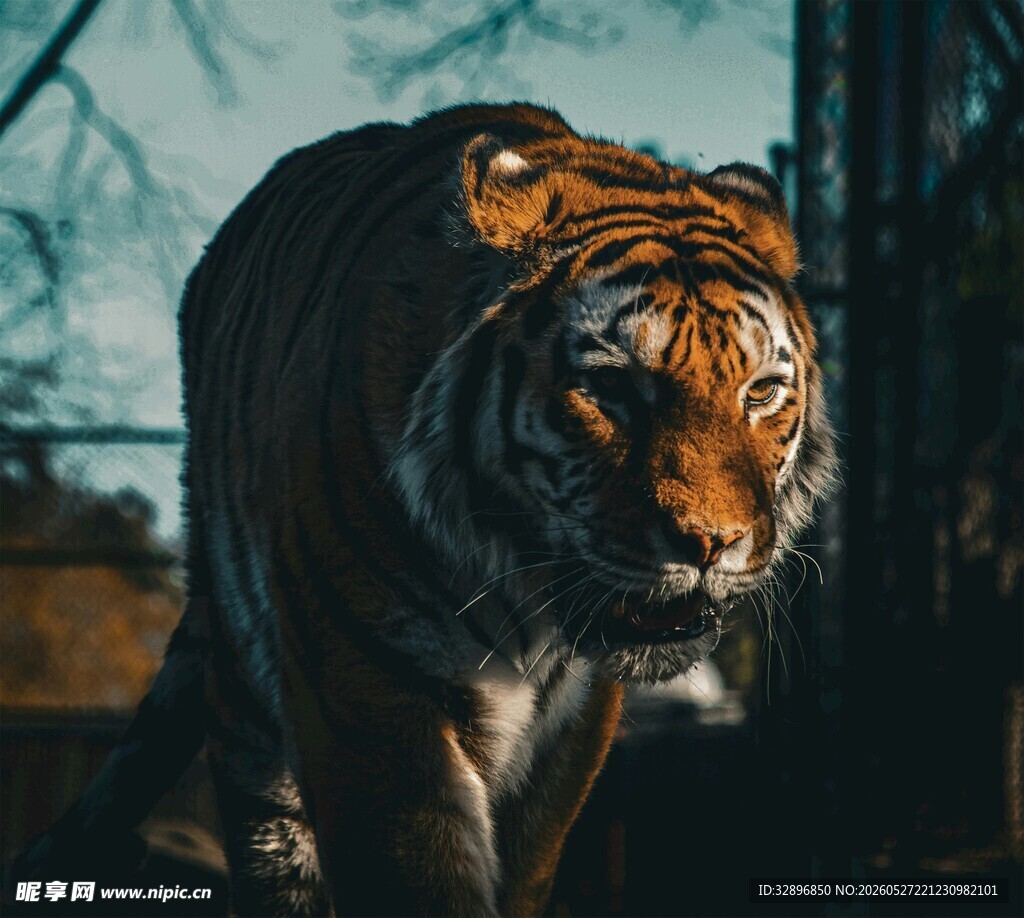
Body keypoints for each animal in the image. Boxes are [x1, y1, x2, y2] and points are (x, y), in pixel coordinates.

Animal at [12, 102, 837, 916]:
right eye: (611, 388)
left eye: (761, 393)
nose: (712, 542)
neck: (521, 593)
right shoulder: (369, 681)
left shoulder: (574, 726)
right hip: (249, 701)